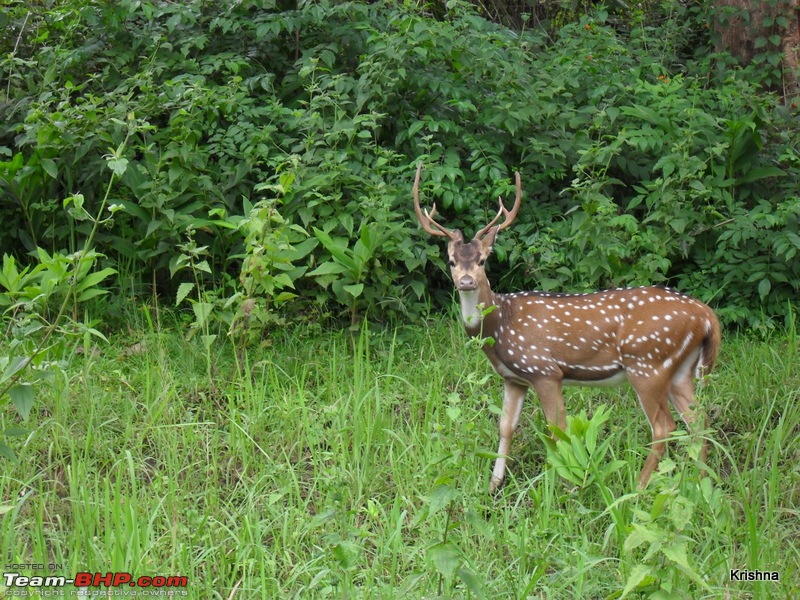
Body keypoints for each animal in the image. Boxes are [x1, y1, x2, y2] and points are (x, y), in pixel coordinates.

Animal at [416, 162, 720, 490]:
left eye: (483, 260)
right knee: (699, 422)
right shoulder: (514, 377)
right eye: (451, 261)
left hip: (647, 363)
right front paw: (494, 484)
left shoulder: (544, 370)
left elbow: (557, 430)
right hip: (680, 369)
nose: (466, 281)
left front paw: (565, 485)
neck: (500, 327)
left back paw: (638, 488)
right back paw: (701, 484)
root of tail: (706, 314)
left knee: (665, 427)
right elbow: (506, 426)